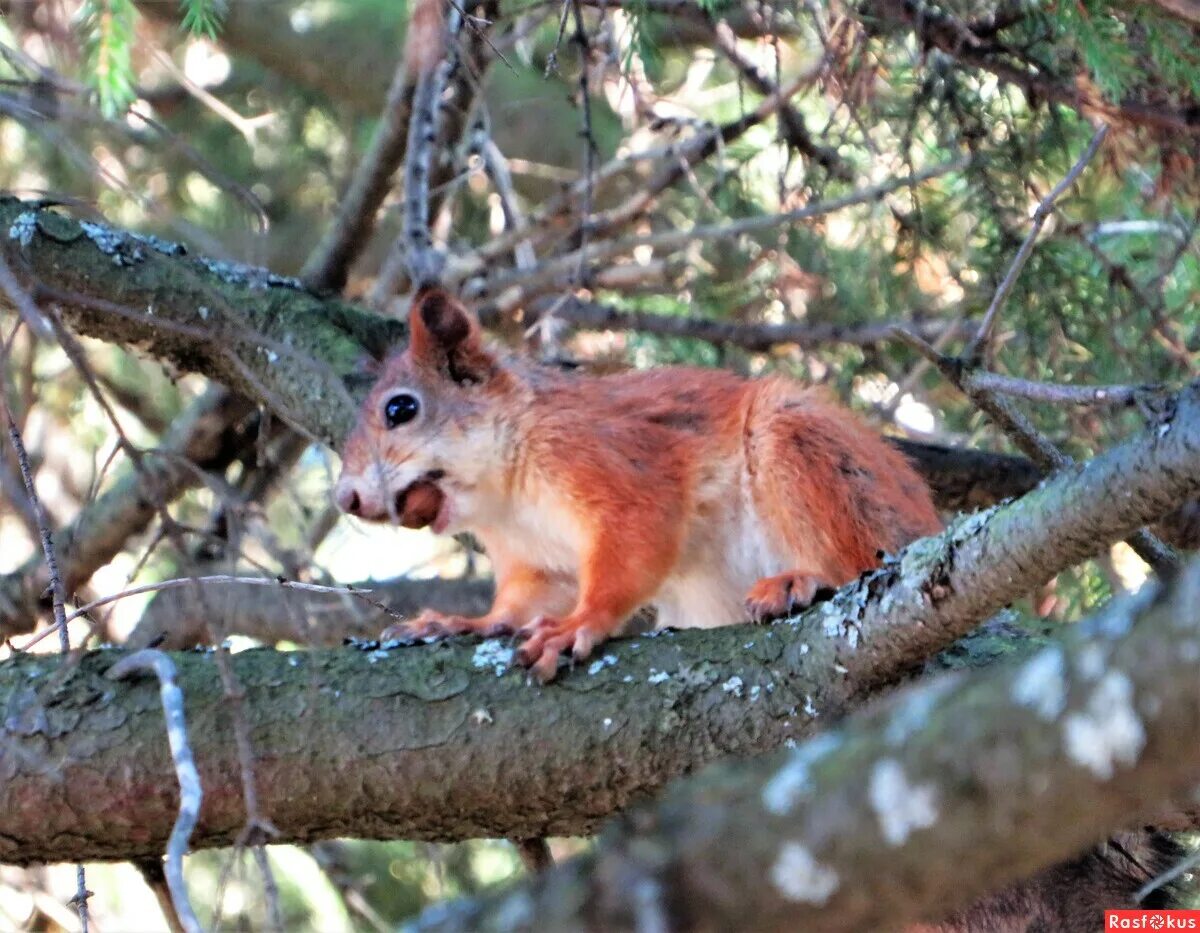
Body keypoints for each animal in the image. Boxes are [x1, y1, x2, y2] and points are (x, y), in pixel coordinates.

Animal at [333, 286, 940, 681]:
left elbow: (632, 549)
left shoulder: (617, 466)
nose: (346, 497)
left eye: (401, 409)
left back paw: (799, 581)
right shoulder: (536, 561)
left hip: (804, 452)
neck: (505, 498)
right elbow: (519, 604)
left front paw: (578, 625)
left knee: (856, 558)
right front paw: (460, 623)